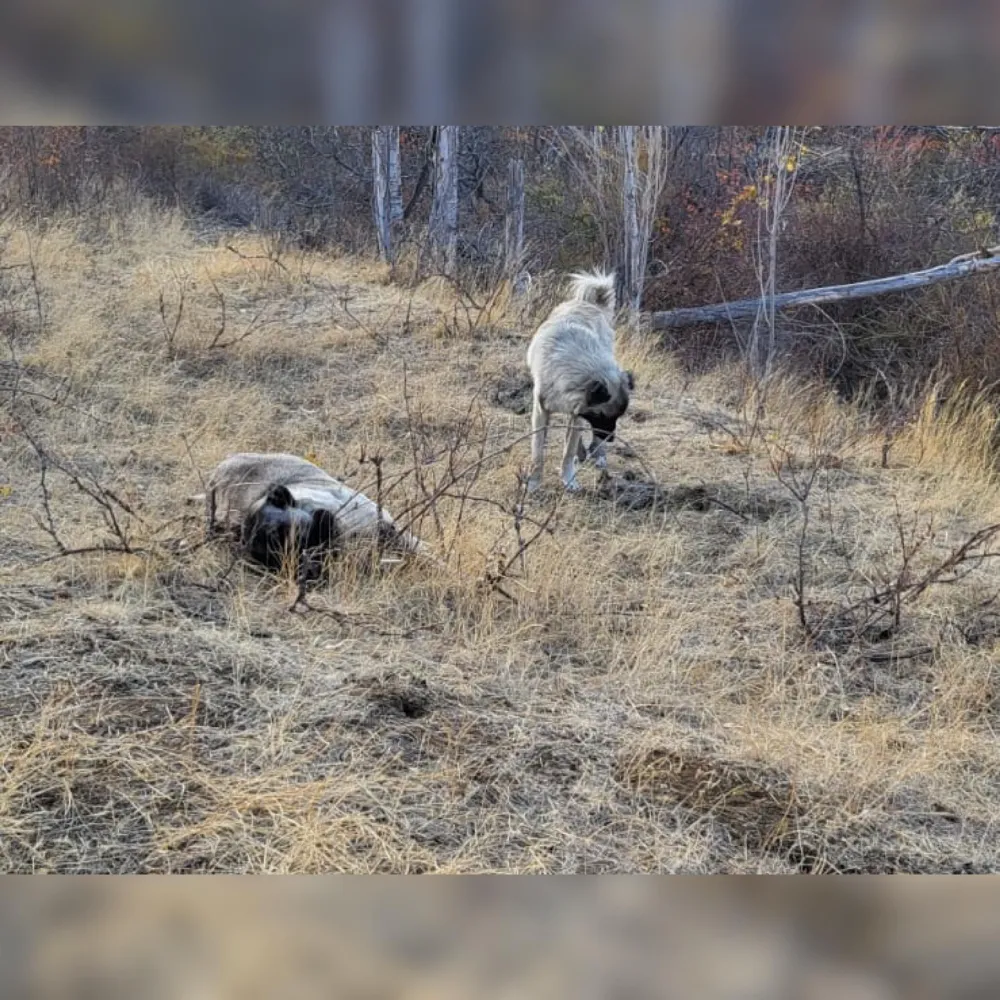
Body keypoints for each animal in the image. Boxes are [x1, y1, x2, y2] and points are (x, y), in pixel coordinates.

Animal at [524, 270, 632, 492]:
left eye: (617, 417)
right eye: (603, 416)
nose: (611, 438)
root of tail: (589, 303)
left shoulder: (579, 415)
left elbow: (568, 451)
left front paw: (568, 479)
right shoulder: (541, 412)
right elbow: (538, 453)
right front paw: (534, 482)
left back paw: (596, 453)